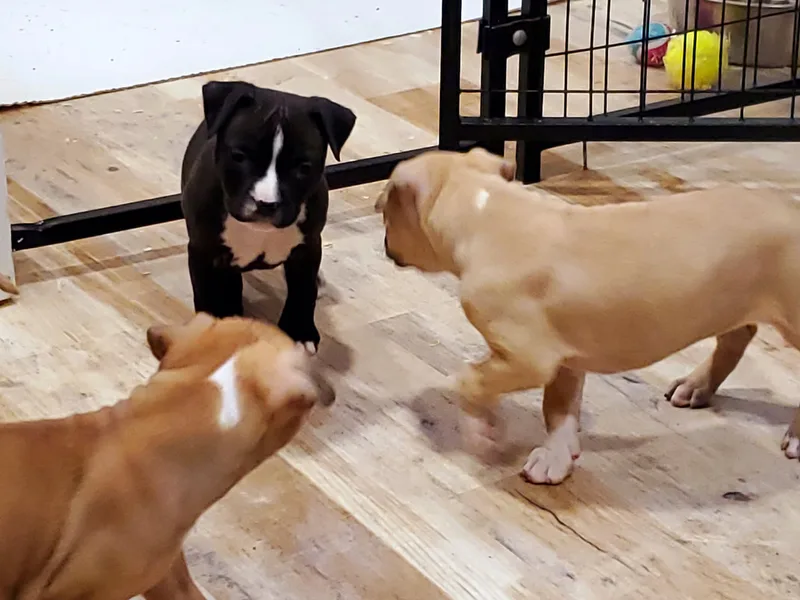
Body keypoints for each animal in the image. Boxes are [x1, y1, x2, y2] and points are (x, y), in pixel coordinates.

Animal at [181, 80, 357, 352]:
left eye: (304, 168)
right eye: (239, 156)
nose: (265, 203)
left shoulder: (307, 248)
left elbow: (303, 290)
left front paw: (298, 331)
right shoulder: (203, 252)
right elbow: (207, 296)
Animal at [375, 146, 800, 485]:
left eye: (387, 215)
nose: (385, 245)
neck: (488, 210)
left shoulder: (528, 359)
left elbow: (470, 381)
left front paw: (484, 431)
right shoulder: (565, 358)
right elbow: (558, 409)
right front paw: (557, 456)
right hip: (732, 300)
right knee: (737, 334)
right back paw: (697, 385)